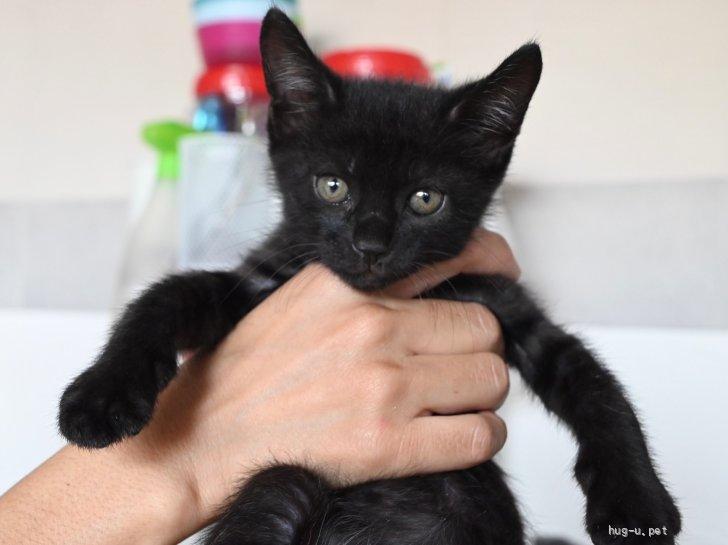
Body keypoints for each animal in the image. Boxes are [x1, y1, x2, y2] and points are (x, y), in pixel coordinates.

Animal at [58, 8, 680, 545]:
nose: (370, 246)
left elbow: (597, 388)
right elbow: (165, 295)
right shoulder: (258, 286)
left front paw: (638, 505)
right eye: (333, 186)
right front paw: (100, 395)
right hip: (286, 484)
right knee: (278, 486)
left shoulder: (502, 304)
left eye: (425, 200)